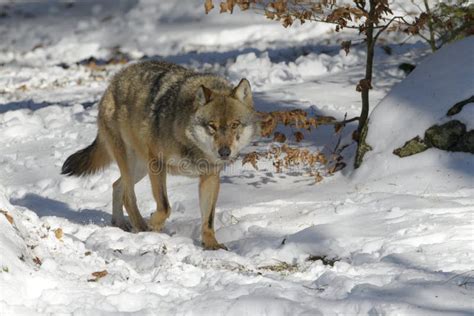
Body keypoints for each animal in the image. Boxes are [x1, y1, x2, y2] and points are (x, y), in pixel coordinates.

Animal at [62, 61, 260, 249]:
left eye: (235, 125)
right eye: (212, 126)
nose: (225, 152)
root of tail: (116, 79)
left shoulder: (210, 176)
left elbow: (208, 219)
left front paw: (211, 244)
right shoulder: (158, 165)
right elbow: (165, 206)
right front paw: (153, 224)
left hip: (140, 168)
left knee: (116, 186)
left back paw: (120, 224)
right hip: (133, 163)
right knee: (128, 196)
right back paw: (141, 227)